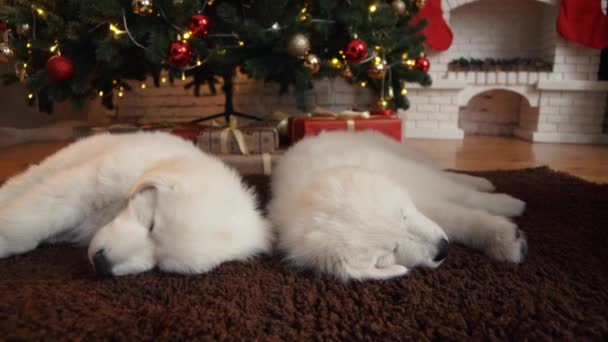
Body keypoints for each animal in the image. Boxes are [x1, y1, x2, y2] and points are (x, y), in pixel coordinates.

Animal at [0, 132, 270, 276]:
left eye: (160, 266)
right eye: (151, 225)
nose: (102, 266)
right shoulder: (86, 185)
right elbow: (29, 222)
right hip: (60, 162)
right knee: (22, 183)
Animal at [268, 130, 528, 280]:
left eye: (402, 215)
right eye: (387, 254)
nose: (443, 250)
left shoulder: (412, 180)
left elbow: (462, 203)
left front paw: (508, 214)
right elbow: (453, 218)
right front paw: (506, 237)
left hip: (405, 155)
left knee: (445, 174)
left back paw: (482, 182)